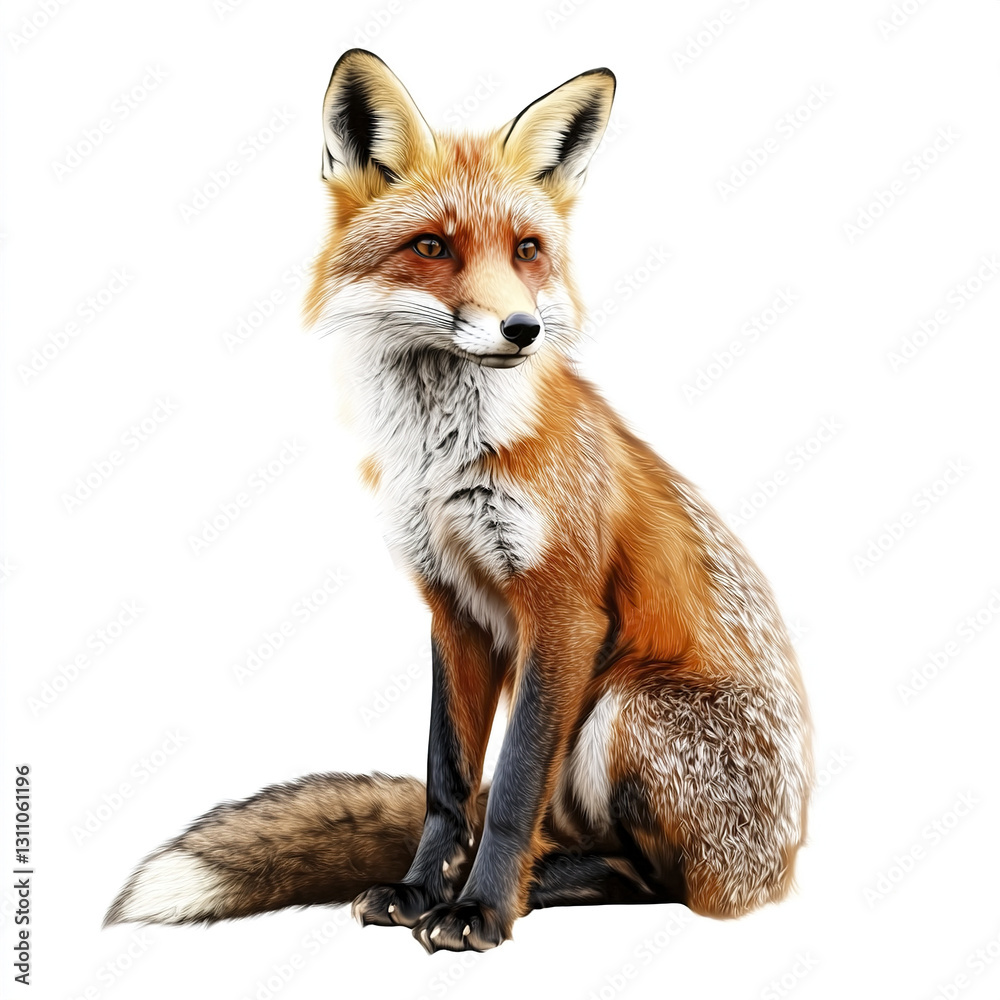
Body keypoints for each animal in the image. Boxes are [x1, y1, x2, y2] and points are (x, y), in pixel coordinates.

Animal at [105, 49, 812, 954]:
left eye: (528, 250)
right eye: (433, 246)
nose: (521, 330)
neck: (442, 463)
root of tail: (777, 869)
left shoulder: (563, 611)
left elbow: (507, 787)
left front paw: (479, 908)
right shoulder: (452, 605)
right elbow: (449, 782)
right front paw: (420, 890)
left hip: (626, 707)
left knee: (655, 878)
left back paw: (536, 886)